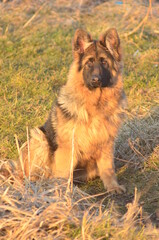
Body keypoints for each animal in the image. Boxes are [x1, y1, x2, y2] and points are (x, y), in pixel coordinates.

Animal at [20, 28, 126, 193]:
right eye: (89, 63)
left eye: (104, 62)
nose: (96, 80)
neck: (95, 104)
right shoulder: (67, 148)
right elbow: (63, 173)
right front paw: (62, 192)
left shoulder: (107, 144)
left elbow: (108, 169)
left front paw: (113, 187)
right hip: (40, 138)